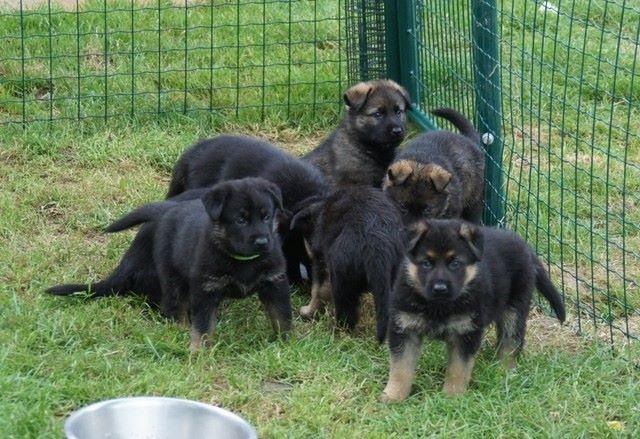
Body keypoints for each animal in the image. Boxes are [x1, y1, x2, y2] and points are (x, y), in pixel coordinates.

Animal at [380, 220, 564, 402]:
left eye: (455, 264)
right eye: (426, 263)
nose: (440, 289)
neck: (438, 306)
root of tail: (523, 245)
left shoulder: (466, 331)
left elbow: (458, 368)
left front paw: (452, 397)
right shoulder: (405, 327)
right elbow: (400, 368)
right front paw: (393, 396)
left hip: (514, 308)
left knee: (511, 341)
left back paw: (503, 371)